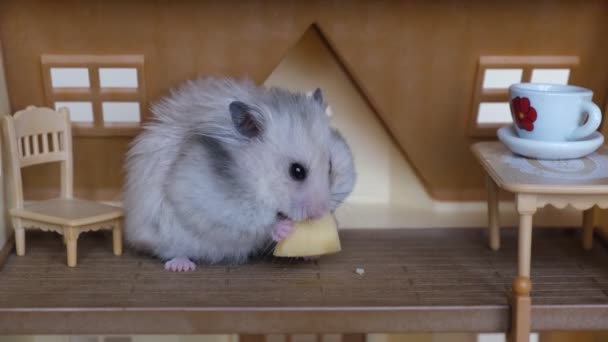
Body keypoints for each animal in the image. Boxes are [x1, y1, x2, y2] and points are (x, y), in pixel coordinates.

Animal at [123, 77, 356, 272]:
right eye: (296, 171)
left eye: (330, 167)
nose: (320, 214)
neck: (255, 177)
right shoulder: (213, 201)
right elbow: (252, 221)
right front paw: (282, 228)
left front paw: (334, 222)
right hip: (159, 232)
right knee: (170, 251)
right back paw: (181, 266)